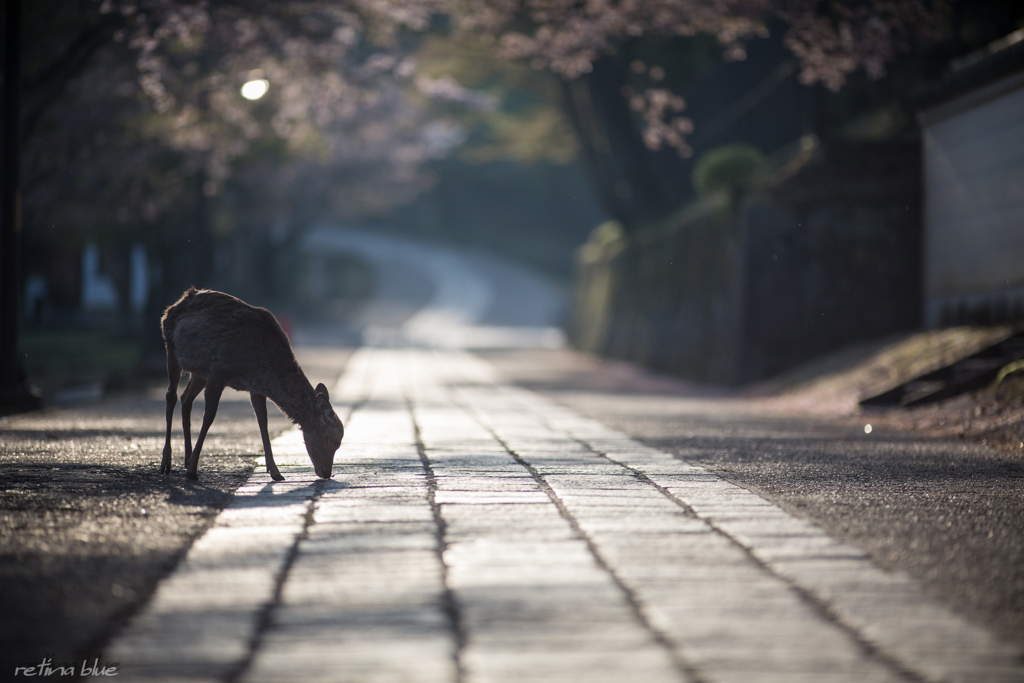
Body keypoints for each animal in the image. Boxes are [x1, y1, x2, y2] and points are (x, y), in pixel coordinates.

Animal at [159, 288, 344, 481]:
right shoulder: (219, 370)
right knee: (171, 396)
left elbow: (263, 420)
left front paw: (275, 472)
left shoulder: (255, 388)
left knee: (186, 398)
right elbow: (209, 416)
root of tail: (172, 308)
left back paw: (186, 458)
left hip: (198, 372)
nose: (327, 473)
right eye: (334, 440)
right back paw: (167, 462)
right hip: (171, 349)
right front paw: (192, 470)